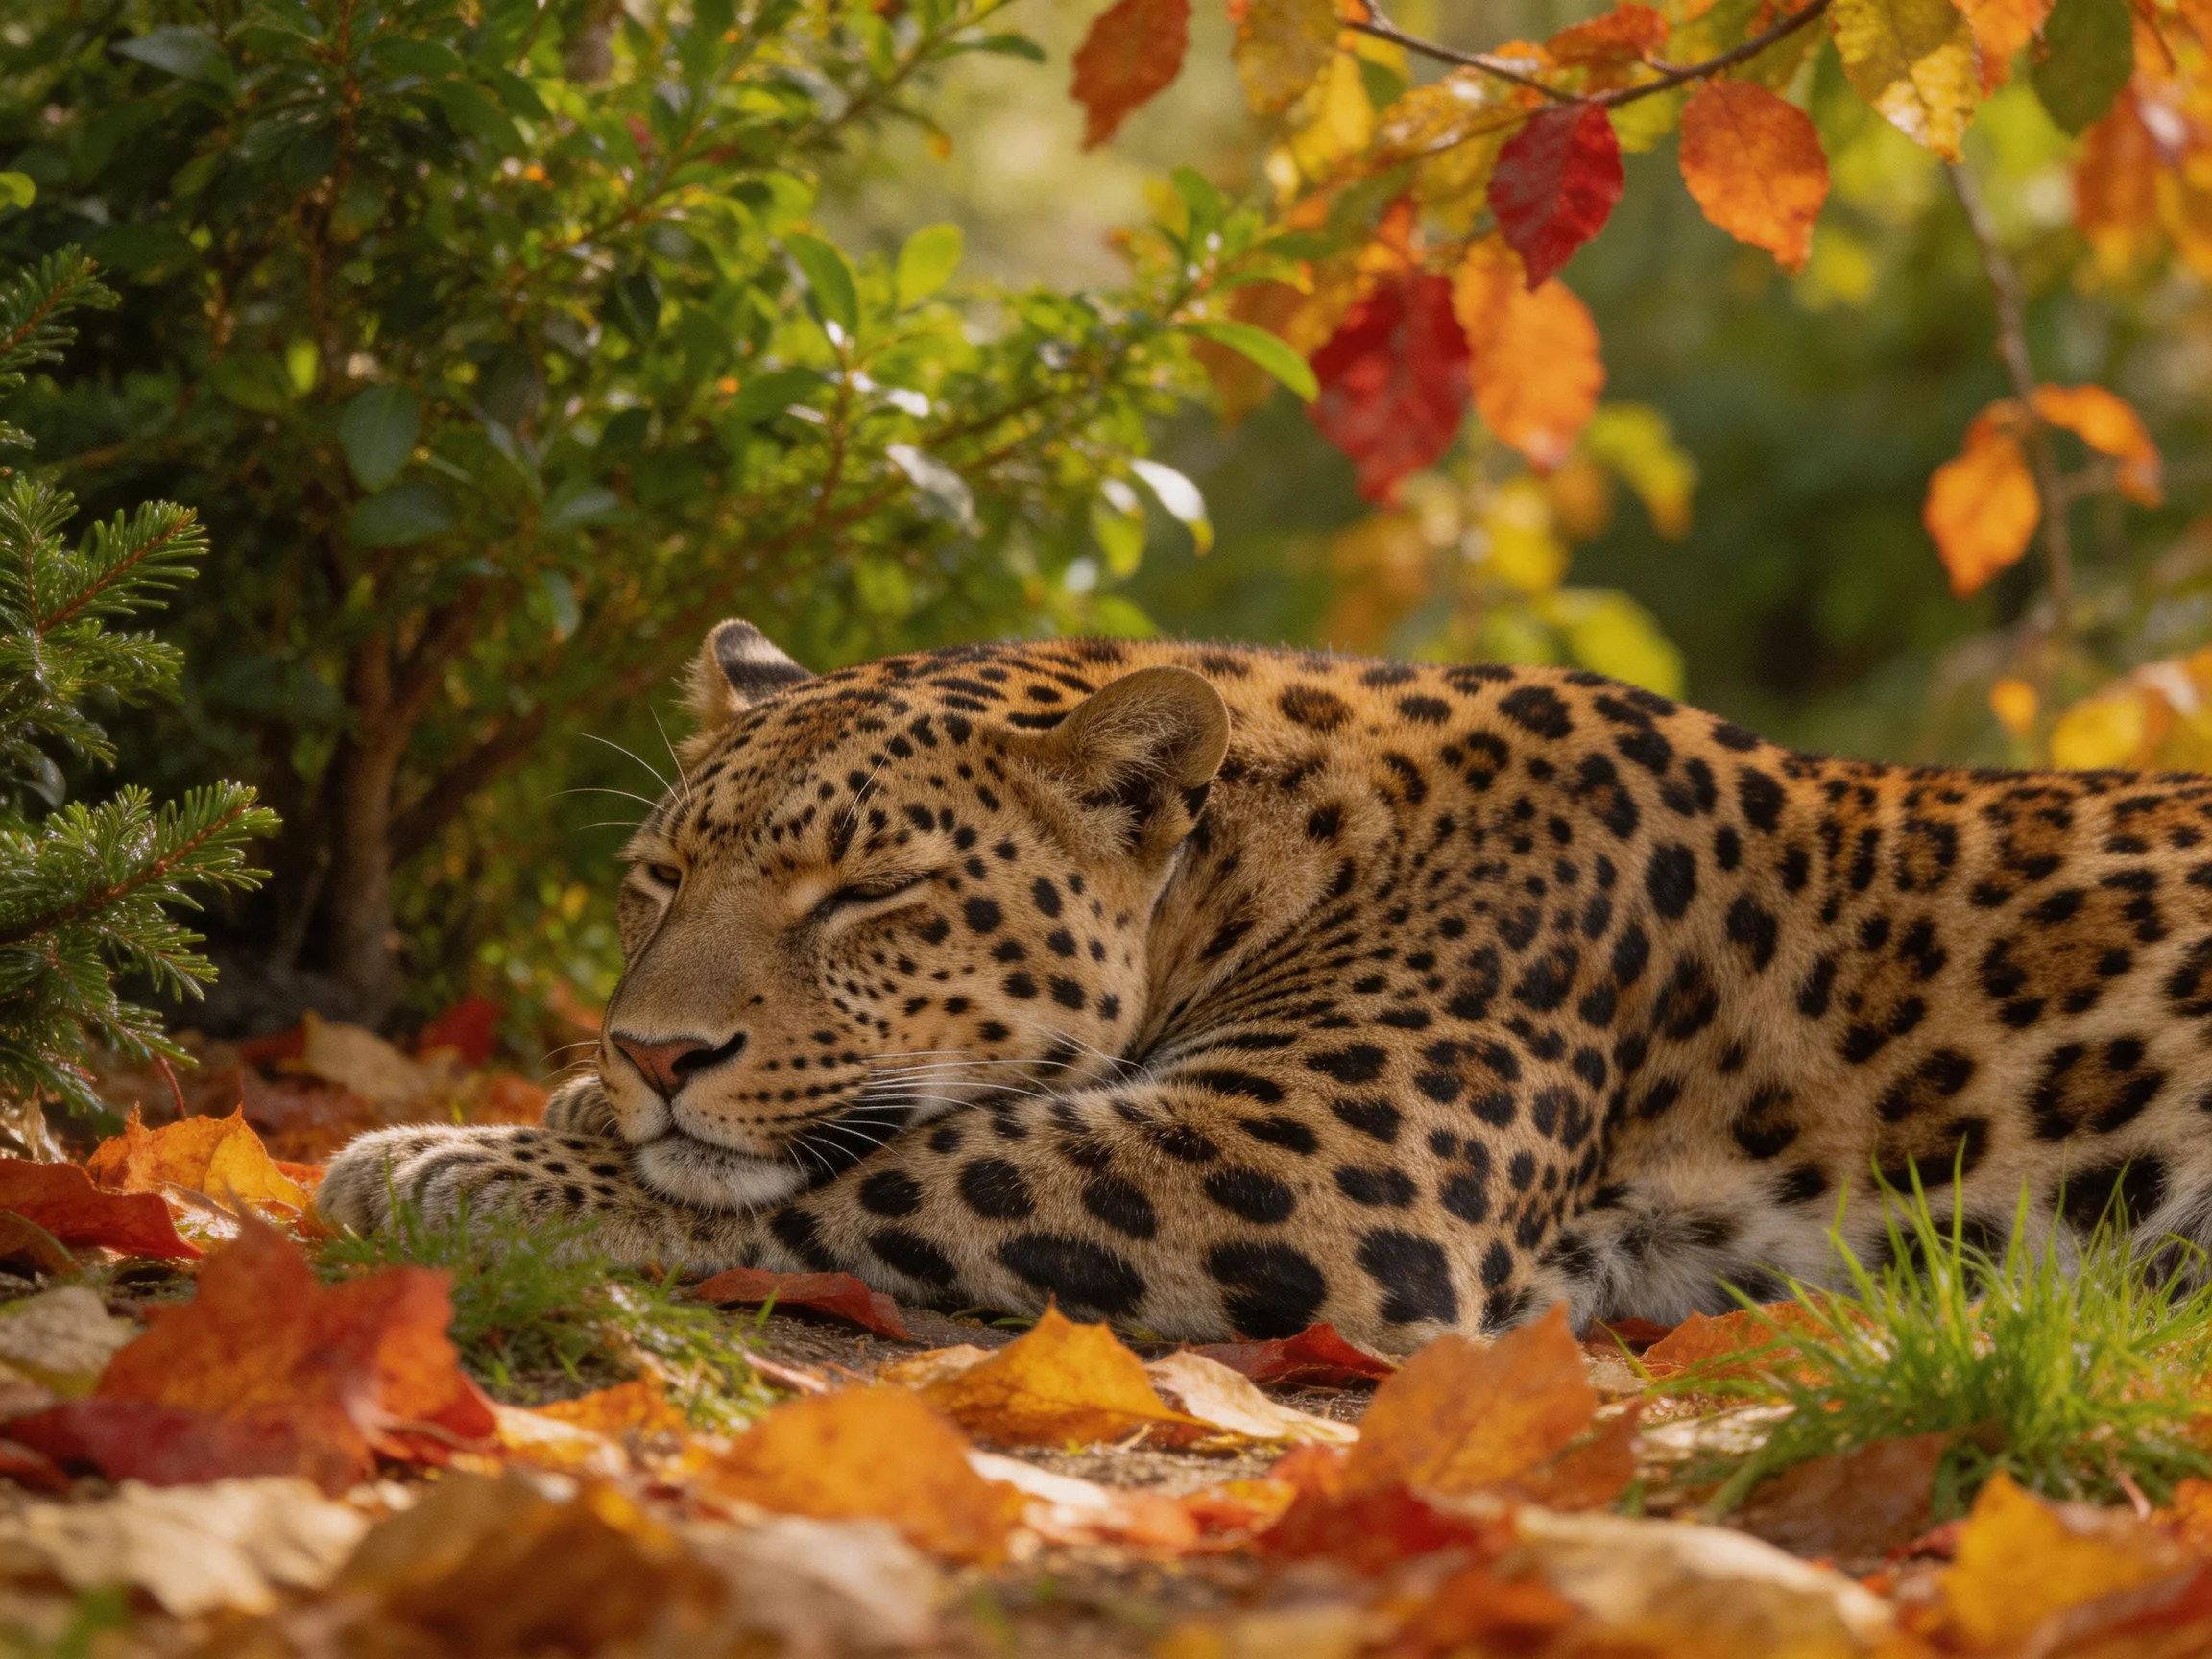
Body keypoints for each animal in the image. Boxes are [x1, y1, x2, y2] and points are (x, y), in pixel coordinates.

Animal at [318, 620, 2212, 1351]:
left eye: (869, 893)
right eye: (658, 877)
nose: (651, 1048)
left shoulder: (1326, 1165)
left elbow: (902, 1160)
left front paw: (452, 1158)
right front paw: (572, 1105)